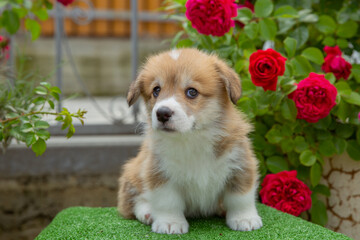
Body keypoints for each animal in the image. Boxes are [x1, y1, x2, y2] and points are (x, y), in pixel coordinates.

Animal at [118, 47, 262, 233]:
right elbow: (167, 201)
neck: (192, 137)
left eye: (192, 92)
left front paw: (245, 219)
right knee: (132, 202)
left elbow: (240, 197)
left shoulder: (240, 165)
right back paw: (148, 212)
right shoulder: (159, 172)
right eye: (156, 90)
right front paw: (170, 223)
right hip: (133, 173)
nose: (162, 113)